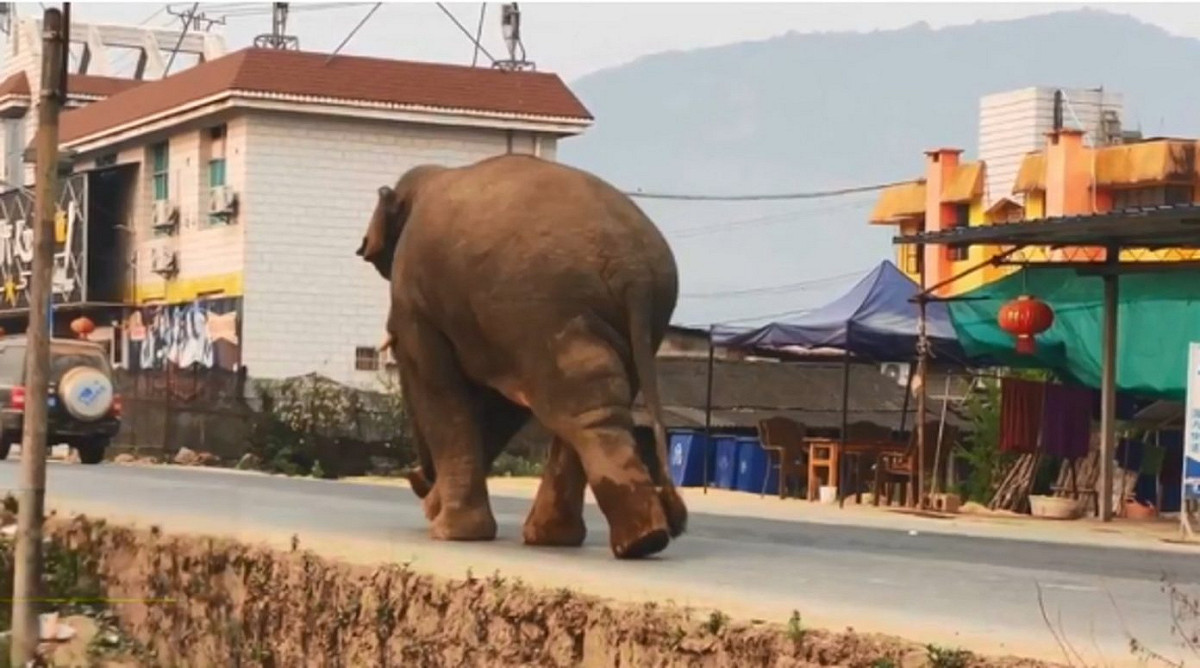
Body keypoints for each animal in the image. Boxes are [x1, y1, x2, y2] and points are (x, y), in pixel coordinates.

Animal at [356, 154, 686, 559]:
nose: (419, 478)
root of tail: (635, 272)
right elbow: (501, 407)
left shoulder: (415, 300)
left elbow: (439, 385)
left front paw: (448, 530)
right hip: (630, 322)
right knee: (592, 404)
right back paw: (589, 539)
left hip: (547, 310)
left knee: (574, 407)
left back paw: (634, 540)